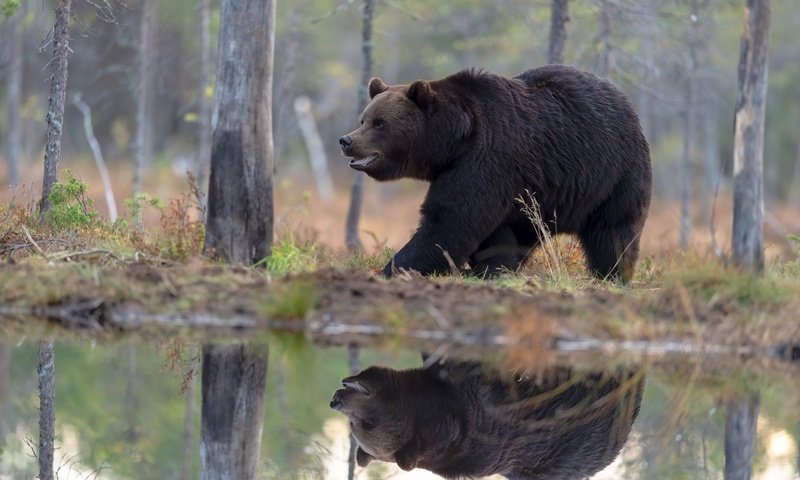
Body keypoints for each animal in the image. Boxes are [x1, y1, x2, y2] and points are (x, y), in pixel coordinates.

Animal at [338, 64, 648, 282]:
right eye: (363, 119)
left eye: (380, 123)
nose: (346, 140)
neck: (453, 142)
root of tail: (626, 101)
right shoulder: (493, 179)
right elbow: (492, 233)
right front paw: (488, 268)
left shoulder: (487, 160)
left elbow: (450, 220)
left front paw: (393, 268)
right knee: (526, 233)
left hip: (614, 174)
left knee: (613, 230)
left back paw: (613, 274)